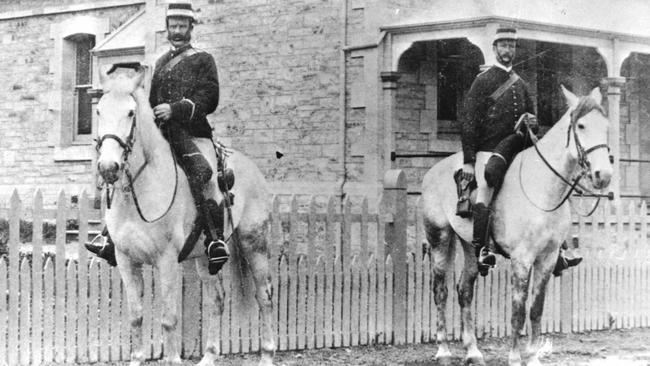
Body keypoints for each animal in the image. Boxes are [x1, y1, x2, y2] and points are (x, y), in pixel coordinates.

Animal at [94, 66, 274, 366]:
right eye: (98, 110)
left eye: (131, 113)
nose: (109, 167)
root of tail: (253, 169)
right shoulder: (126, 260)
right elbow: (136, 317)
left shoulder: (167, 261)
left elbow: (168, 319)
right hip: (205, 257)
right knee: (217, 299)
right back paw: (209, 356)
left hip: (255, 245)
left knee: (265, 296)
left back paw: (267, 356)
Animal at [420, 86, 612, 366]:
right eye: (582, 125)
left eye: (606, 127)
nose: (603, 175)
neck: (542, 187)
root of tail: (432, 172)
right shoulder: (522, 260)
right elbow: (518, 311)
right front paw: (514, 357)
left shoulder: (547, 259)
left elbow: (535, 310)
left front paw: (531, 357)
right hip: (440, 238)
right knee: (440, 291)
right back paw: (443, 350)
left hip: (470, 246)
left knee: (464, 290)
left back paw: (473, 352)